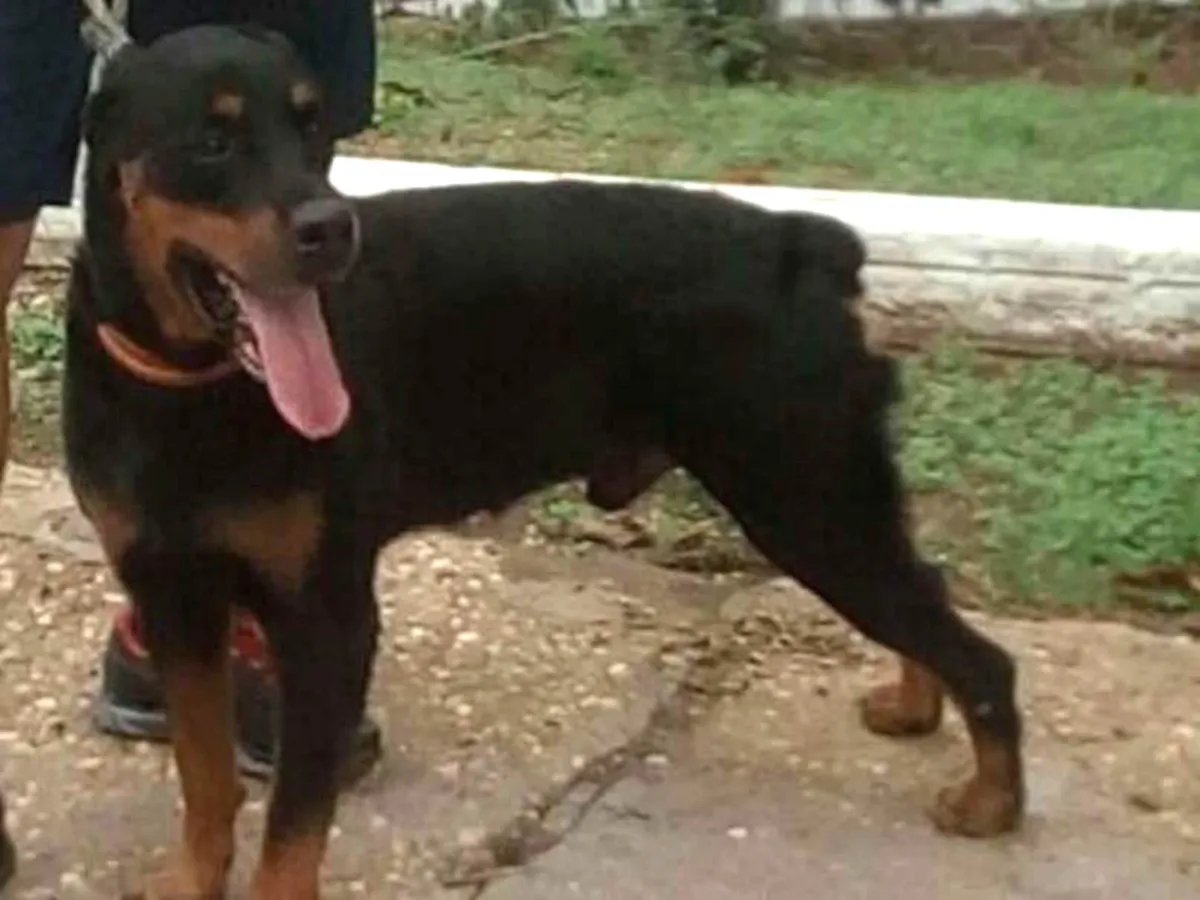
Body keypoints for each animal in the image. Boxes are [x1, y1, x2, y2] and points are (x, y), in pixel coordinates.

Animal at [57, 24, 1025, 900]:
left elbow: (292, 832)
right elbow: (205, 778)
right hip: (821, 496)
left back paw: (990, 800)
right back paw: (914, 704)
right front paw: (189, 879)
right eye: (211, 140)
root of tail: (808, 246)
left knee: (974, 647)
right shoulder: (174, 598)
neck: (191, 389)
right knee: (926, 593)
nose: (332, 228)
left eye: (315, 128)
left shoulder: (327, 615)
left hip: (804, 493)